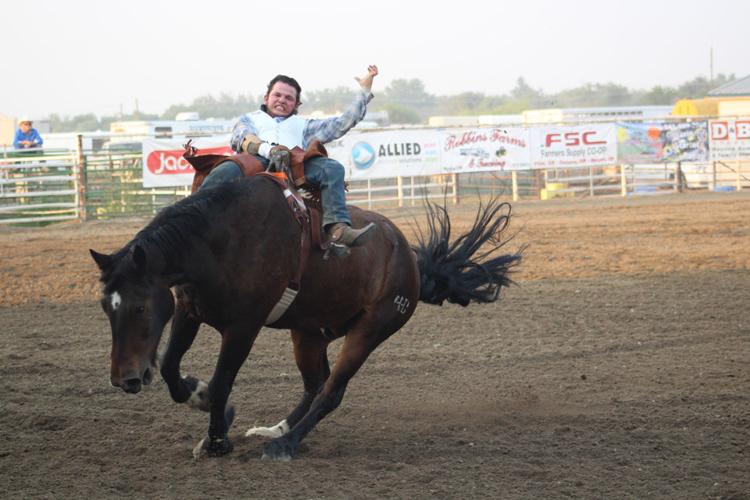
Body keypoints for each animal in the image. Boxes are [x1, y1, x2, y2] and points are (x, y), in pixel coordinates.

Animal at [89, 177, 524, 460]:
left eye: (140, 306)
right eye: (106, 306)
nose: (125, 379)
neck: (220, 241)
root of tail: (410, 260)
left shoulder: (243, 327)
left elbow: (222, 381)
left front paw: (216, 440)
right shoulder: (189, 310)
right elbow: (171, 368)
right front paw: (201, 400)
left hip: (371, 329)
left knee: (331, 390)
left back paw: (284, 444)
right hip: (309, 333)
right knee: (315, 383)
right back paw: (276, 429)